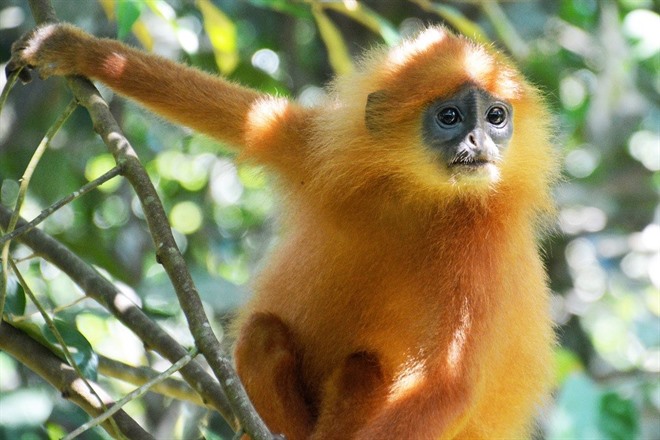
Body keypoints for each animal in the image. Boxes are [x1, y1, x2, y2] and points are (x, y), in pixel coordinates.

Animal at [7, 21, 560, 440]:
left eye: (495, 117)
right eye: (450, 116)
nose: (479, 140)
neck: (420, 197)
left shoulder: (485, 241)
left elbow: (450, 385)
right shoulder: (321, 153)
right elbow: (242, 118)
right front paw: (74, 49)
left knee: (365, 368)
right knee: (262, 335)